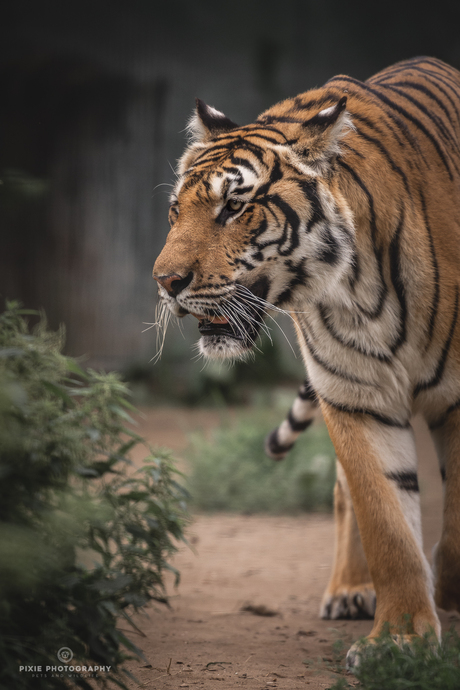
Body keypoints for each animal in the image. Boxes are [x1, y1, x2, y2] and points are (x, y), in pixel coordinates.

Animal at [153, 56, 460, 664]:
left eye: (234, 207)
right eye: (177, 209)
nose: (165, 282)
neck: (355, 287)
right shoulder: (356, 395)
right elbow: (386, 520)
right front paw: (400, 641)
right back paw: (350, 591)